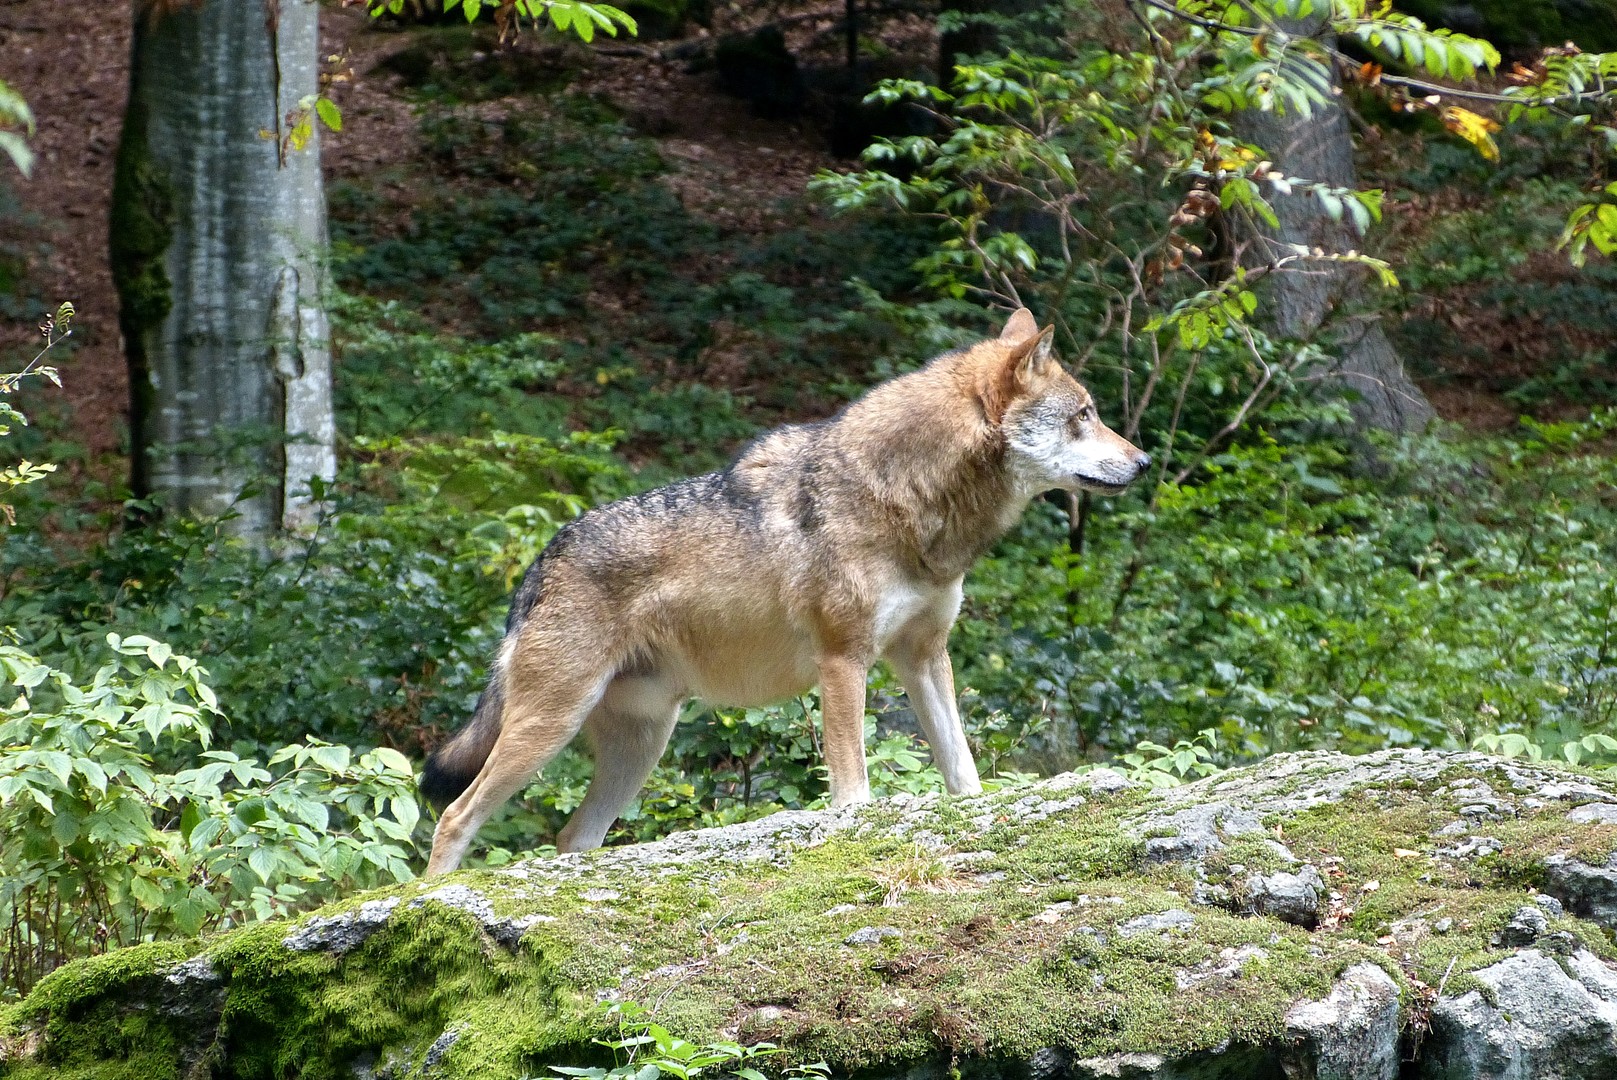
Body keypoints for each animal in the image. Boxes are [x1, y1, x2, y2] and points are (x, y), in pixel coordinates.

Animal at [419, 308, 1151, 875]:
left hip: (639, 749)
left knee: (571, 838)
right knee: (453, 817)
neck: (906, 500)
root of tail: (540, 562)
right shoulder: (843, 662)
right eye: (1084, 415)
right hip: (548, 729)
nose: (1144, 461)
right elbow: (852, 792)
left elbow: (963, 772)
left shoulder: (923, 658)